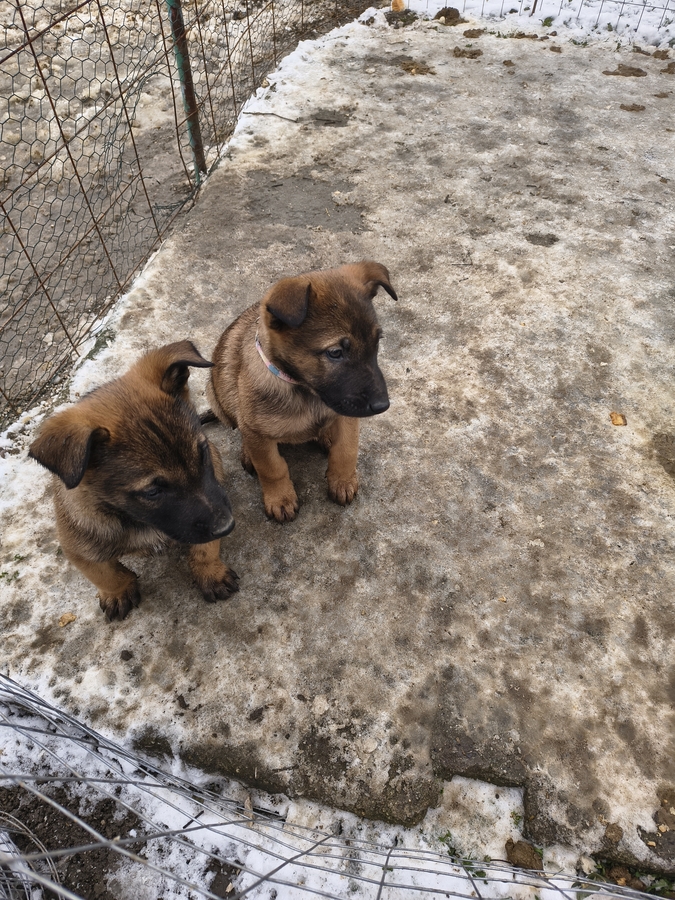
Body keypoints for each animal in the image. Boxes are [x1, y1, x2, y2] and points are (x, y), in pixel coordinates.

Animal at [29, 341, 239, 621]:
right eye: (152, 492)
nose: (227, 526)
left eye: (202, 453)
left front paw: (211, 572)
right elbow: (105, 573)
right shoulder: (76, 546)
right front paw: (117, 593)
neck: (135, 519)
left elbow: (205, 549)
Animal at [206, 261, 397, 522]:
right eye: (335, 353)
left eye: (377, 342)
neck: (306, 391)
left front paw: (342, 481)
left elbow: (346, 449)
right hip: (217, 396)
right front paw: (280, 498)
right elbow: (272, 468)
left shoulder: (347, 411)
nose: (382, 406)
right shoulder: (257, 430)